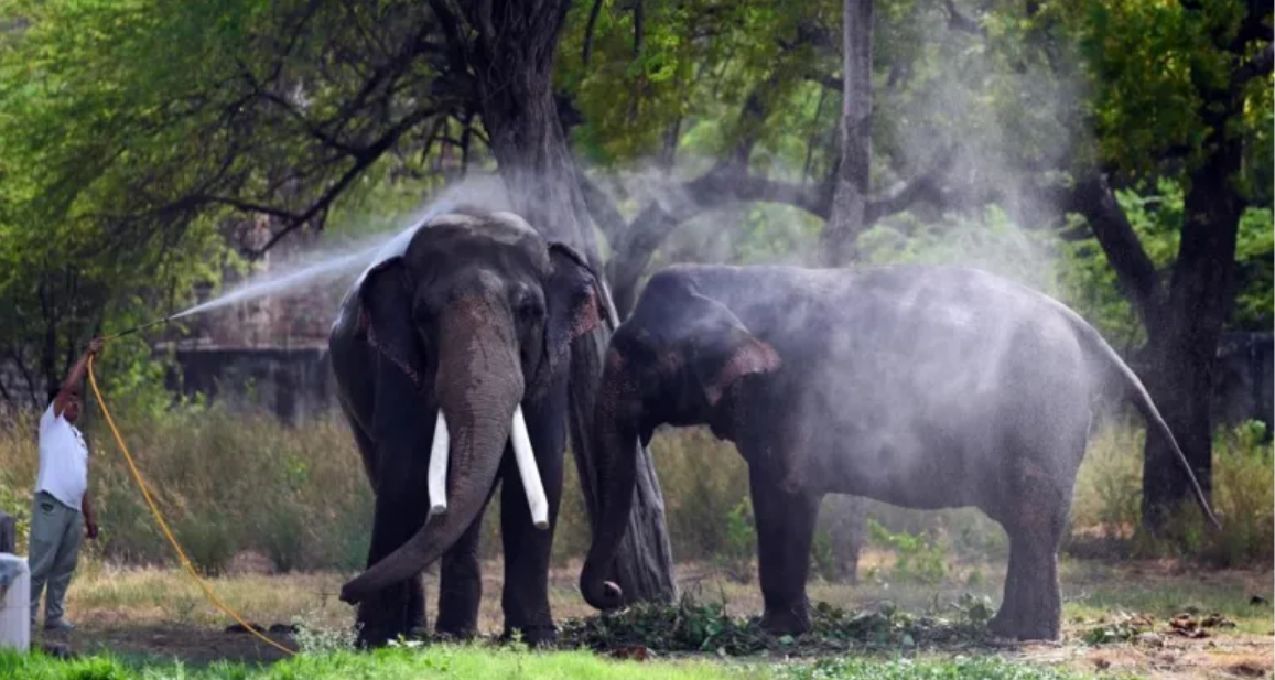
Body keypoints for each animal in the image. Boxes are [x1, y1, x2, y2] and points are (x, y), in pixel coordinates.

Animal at [328, 205, 606, 640]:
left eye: (529, 311)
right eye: (423, 316)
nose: (344, 592)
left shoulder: (554, 366)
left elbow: (540, 472)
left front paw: (537, 639)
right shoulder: (397, 367)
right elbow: (405, 476)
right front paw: (376, 640)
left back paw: (453, 633)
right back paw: (414, 632)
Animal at [581, 262, 1213, 637]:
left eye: (636, 349)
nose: (613, 593)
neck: (729, 278)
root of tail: (1077, 324)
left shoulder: (784, 403)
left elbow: (782, 495)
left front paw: (776, 633)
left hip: (1039, 414)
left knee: (1031, 520)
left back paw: (1022, 636)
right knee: (1027, 524)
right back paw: (1005, 629)